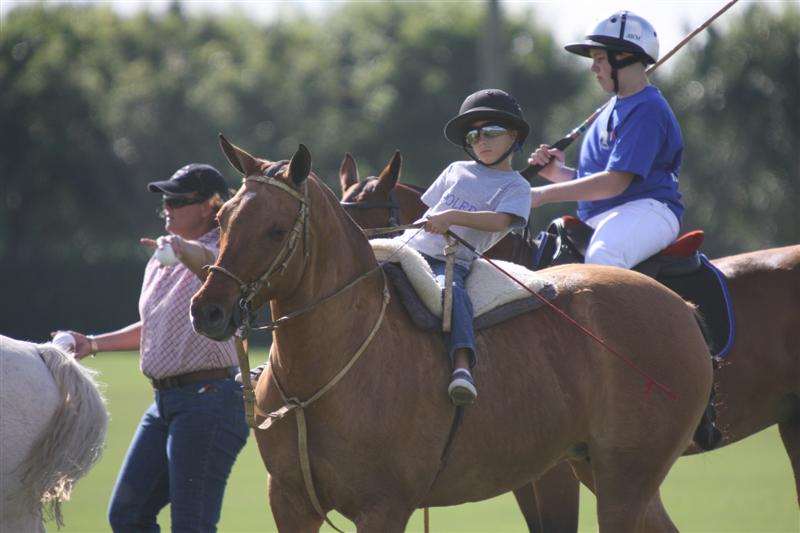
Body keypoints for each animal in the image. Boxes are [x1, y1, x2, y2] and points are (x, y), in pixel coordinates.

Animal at [190, 137, 714, 533]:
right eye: (221, 219)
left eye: (277, 230)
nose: (208, 310)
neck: (319, 376)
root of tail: (684, 309)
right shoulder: (290, 502)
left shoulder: (384, 507)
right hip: (593, 465)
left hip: (626, 477)